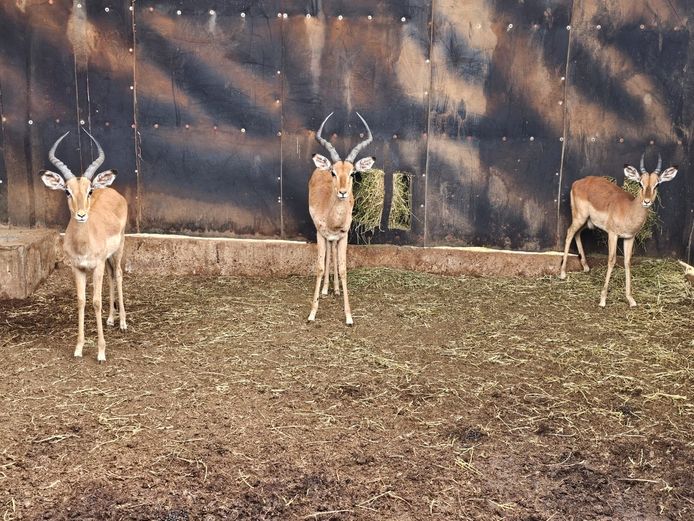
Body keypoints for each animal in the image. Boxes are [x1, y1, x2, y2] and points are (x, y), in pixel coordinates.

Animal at [40, 128, 128, 361]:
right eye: (67, 191)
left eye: (89, 191)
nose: (81, 215)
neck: (83, 243)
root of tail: (111, 191)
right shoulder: (78, 268)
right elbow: (81, 301)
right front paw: (79, 348)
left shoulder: (96, 266)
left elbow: (95, 302)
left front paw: (101, 352)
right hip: (106, 259)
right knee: (110, 277)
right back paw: (111, 319)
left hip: (119, 249)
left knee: (118, 275)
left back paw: (123, 322)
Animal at [307, 112, 375, 325]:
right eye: (333, 172)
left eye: (353, 173)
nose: (343, 192)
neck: (333, 220)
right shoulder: (320, 234)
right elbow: (320, 267)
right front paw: (312, 314)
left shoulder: (344, 235)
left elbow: (344, 269)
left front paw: (349, 317)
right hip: (324, 236)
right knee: (329, 251)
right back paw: (325, 289)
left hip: (337, 238)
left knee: (334, 251)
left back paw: (335, 289)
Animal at [559, 154, 678, 307]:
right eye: (640, 183)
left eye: (657, 184)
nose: (646, 201)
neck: (628, 210)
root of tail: (578, 182)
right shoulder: (613, 234)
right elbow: (611, 260)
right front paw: (603, 299)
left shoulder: (629, 237)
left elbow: (627, 262)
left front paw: (630, 299)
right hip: (580, 217)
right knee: (569, 233)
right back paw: (562, 273)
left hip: (587, 222)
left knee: (577, 234)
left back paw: (585, 267)